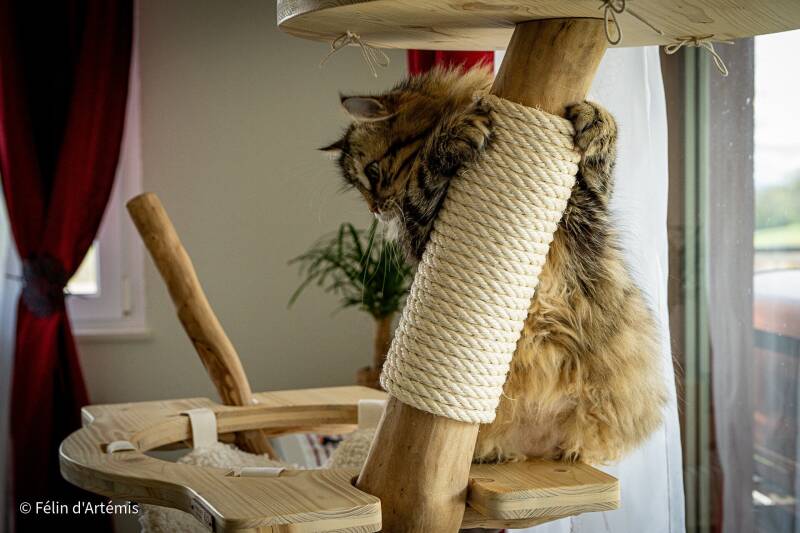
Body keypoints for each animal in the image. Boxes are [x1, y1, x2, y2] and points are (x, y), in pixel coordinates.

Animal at [323, 66, 667, 464]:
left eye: (373, 174)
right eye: (362, 186)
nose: (375, 210)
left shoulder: (587, 214)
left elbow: (596, 174)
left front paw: (596, 120)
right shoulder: (423, 236)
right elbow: (425, 183)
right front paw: (451, 138)